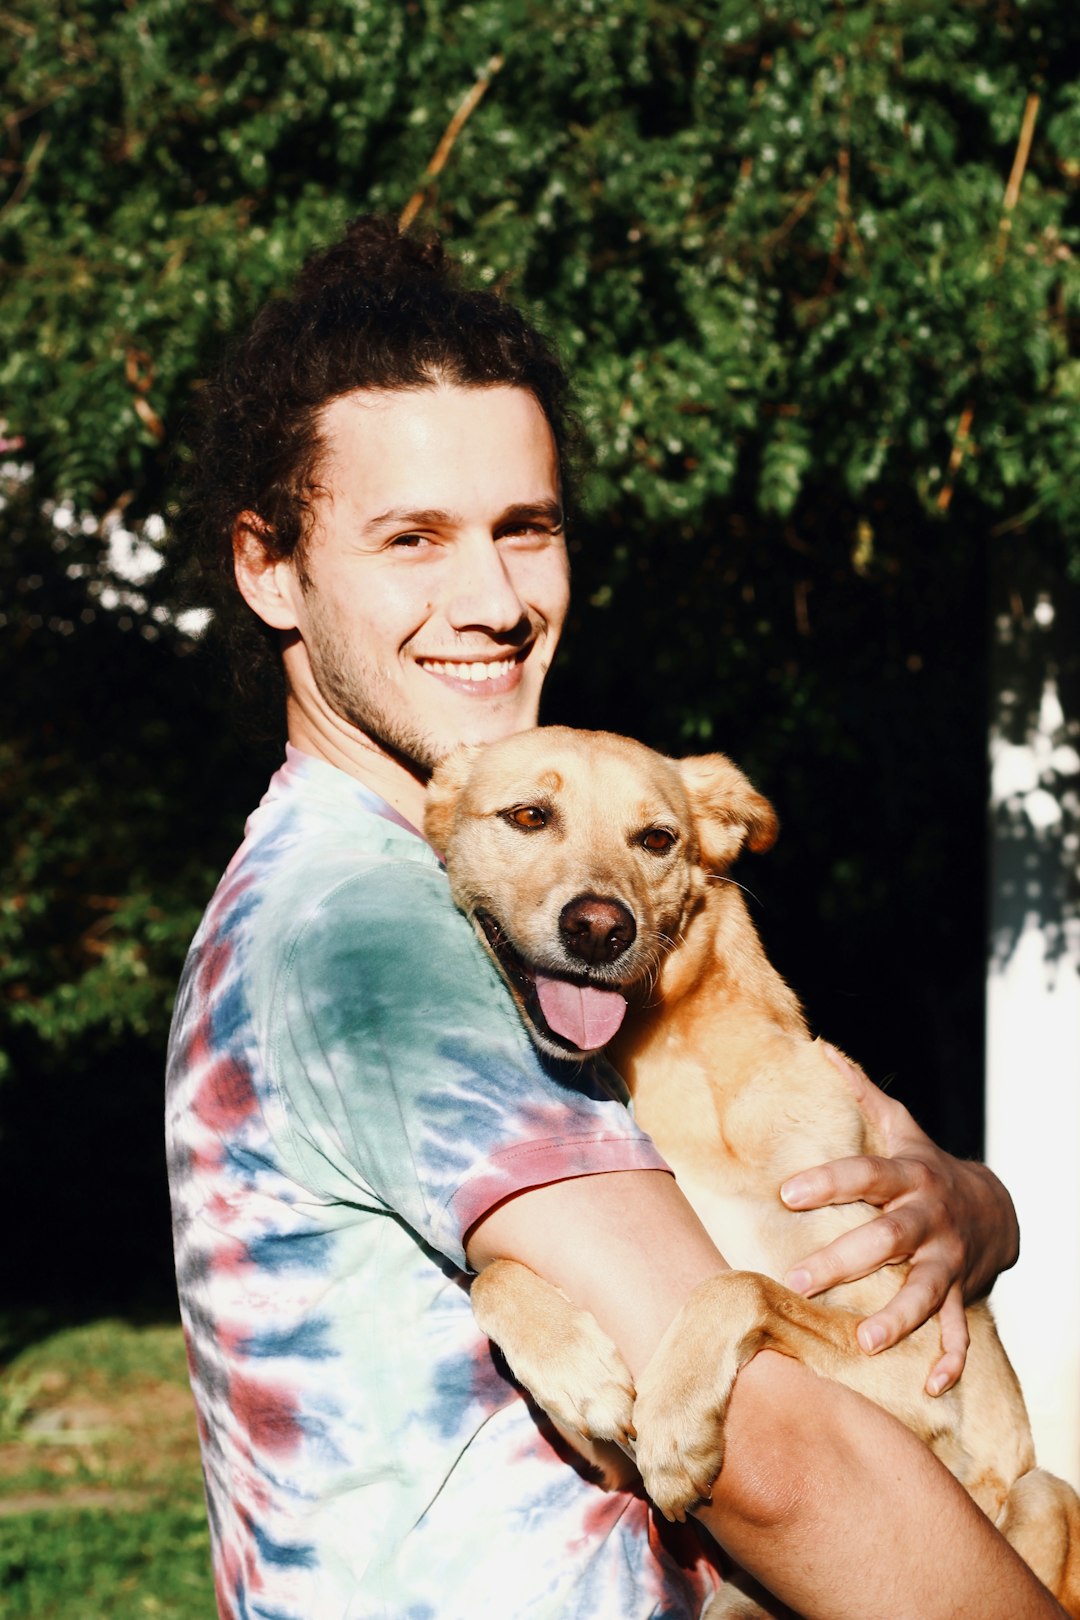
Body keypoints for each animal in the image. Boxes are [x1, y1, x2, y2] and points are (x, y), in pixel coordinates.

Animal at [424, 732, 1080, 1620]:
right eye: (529, 815)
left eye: (657, 839)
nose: (599, 929)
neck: (675, 1081)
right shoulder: (604, 1459)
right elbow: (489, 1281)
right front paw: (574, 1366)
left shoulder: (912, 1362)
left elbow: (741, 1285)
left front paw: (674, 1424)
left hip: (1044, 1492)